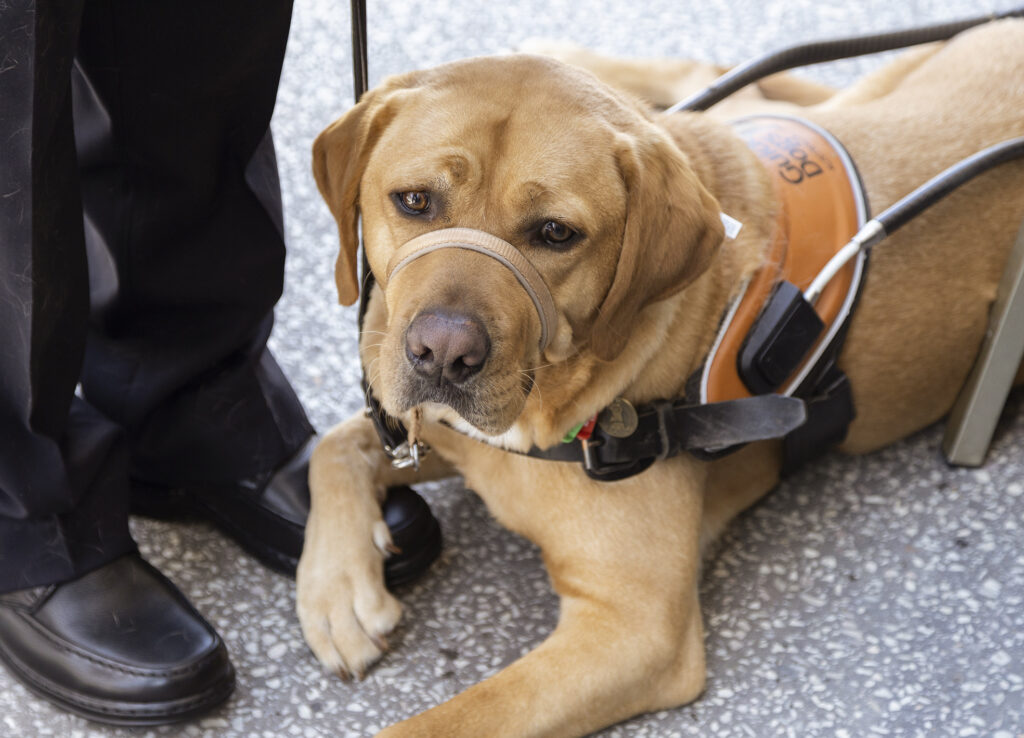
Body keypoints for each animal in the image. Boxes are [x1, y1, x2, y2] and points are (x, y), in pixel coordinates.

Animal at [296, 20, 1024, 732]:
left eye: (556, 233)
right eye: (415, 200)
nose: (443, 354)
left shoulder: (635, 629)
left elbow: (437, 722)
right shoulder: (438, 431)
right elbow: (333, 445)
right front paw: (337, 590)